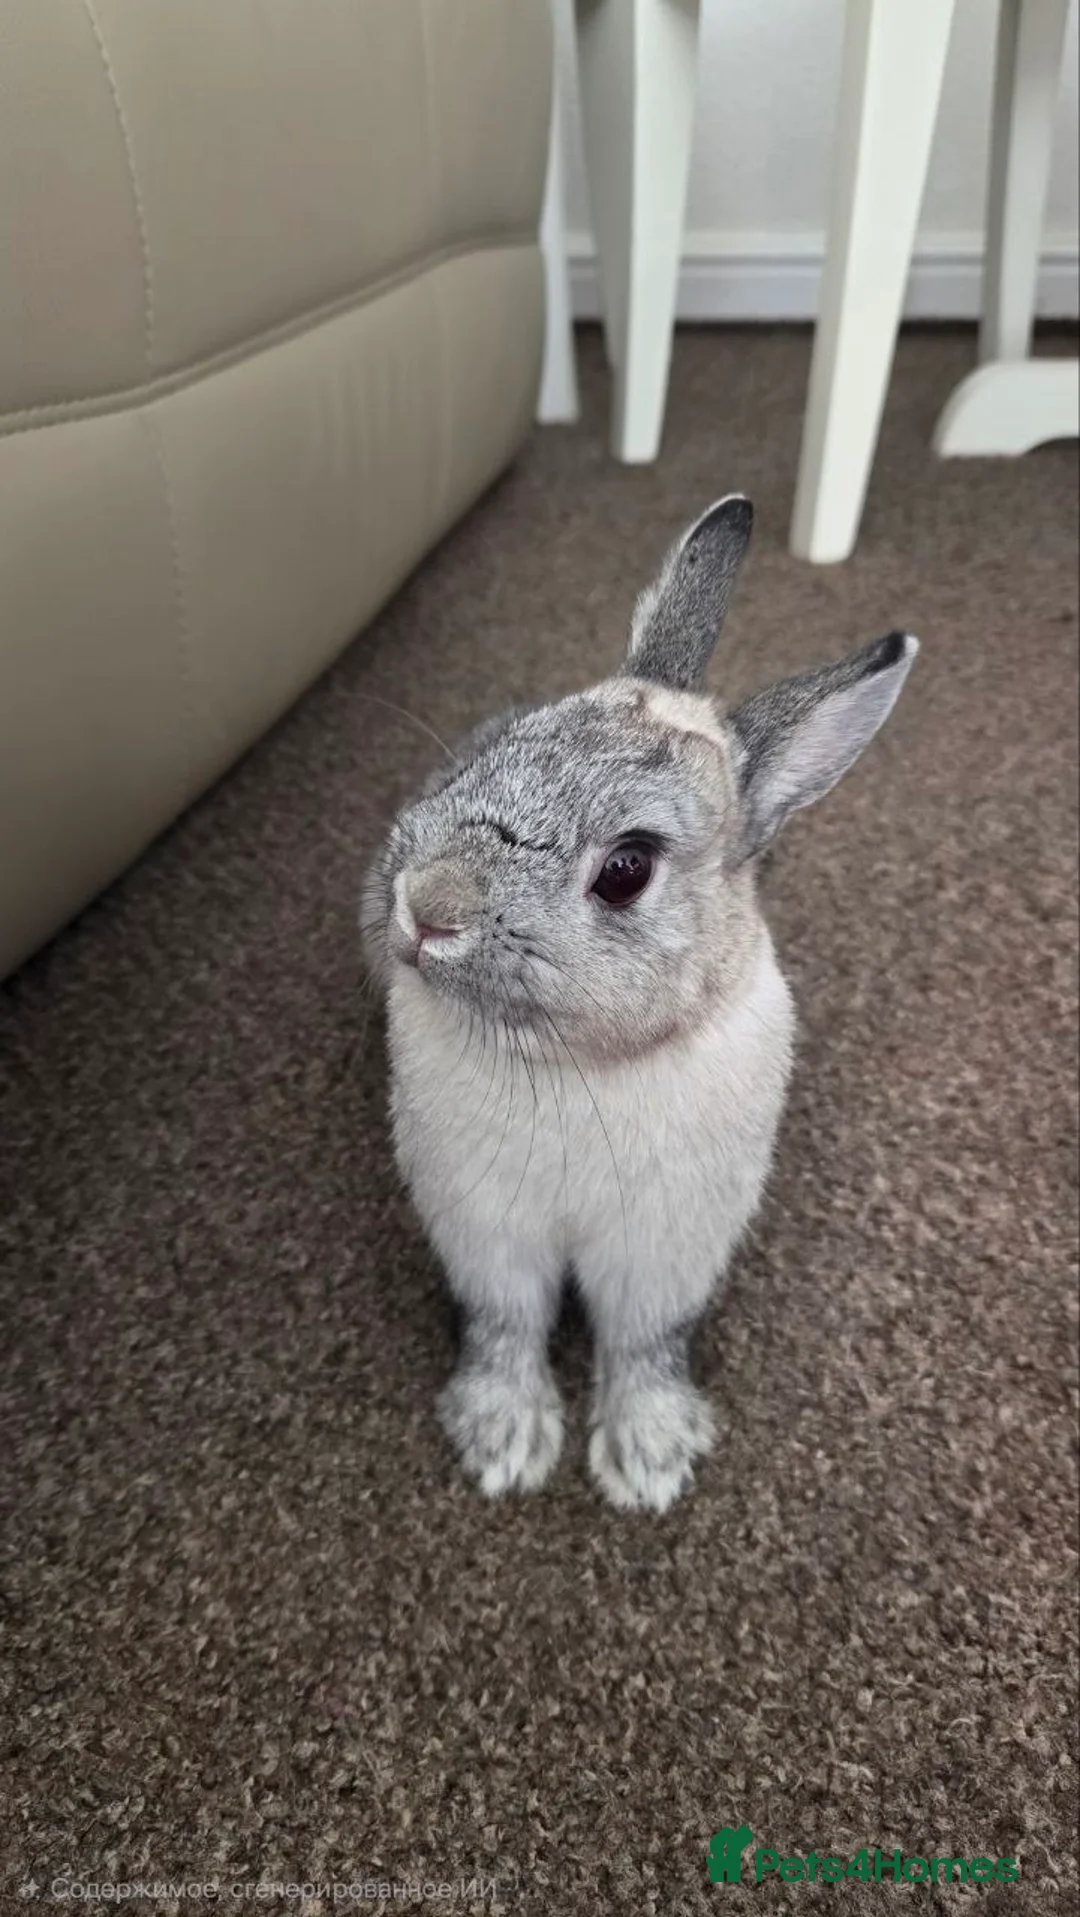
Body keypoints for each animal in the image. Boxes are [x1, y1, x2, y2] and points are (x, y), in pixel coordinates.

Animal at [361, 495, 918, 1512]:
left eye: (626, 869)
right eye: (492, 756)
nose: (427, 908)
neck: (581, 1062)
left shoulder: (665, 1252)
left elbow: (642, 1343)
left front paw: (649, 1462)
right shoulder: (486, 1235)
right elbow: (506, 1326)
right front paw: (504, 1444)